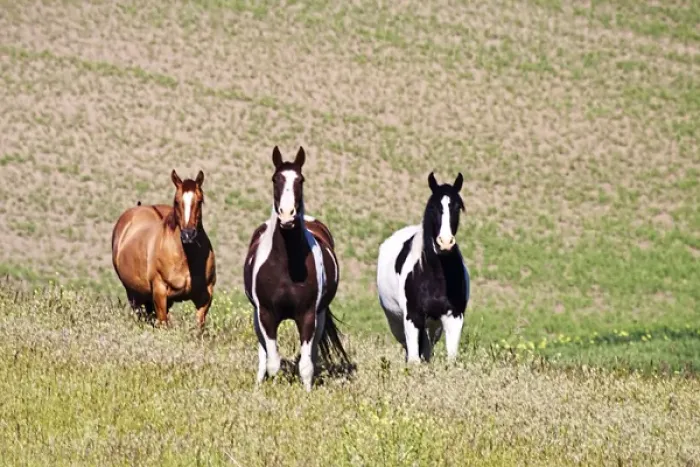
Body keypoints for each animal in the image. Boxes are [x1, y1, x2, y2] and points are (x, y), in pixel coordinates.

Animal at [111, 170, 216, 329]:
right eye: (176, 201)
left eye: (199, 201)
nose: (188, 235)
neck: (186, 259)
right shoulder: (160, 292)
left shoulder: (205, 295)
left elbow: (198, 327)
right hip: (134, 294)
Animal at [243, 146, 350, 391]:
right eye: (276, 179)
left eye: (300, 180)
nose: (287, 215)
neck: (286, 266)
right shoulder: (266, 314)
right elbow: (273, 362)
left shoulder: (308, 315)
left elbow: (306, 364)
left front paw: (307, 391)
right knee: (263, 354)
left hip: (319, 315)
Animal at [376, 172, 470, 363]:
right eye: (433, 207)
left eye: (457, 207)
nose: (445, 242)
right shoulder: (412, 317)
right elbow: (414, 360)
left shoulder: (454, 317)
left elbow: (451, 359)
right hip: (397, 324)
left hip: (433, 325)